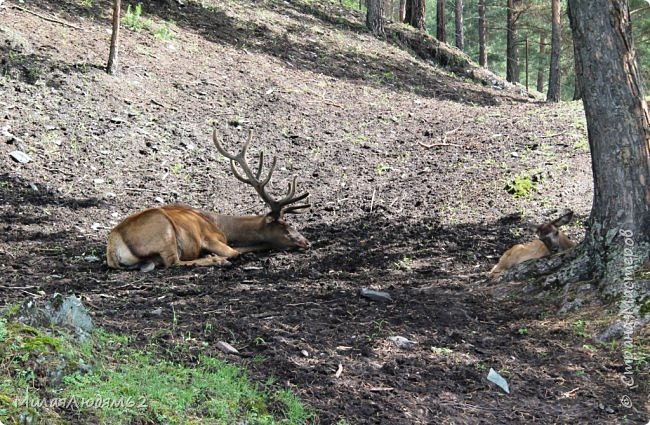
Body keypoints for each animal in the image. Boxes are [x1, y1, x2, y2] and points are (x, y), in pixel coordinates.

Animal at [106, 127, 308, 272]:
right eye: (284, 226)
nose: (306, 242)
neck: (222, 226)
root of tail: (113, 244)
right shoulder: (209, 238)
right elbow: (235, 251)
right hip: (164, 231)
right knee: (174, 263)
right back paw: (216, 260)